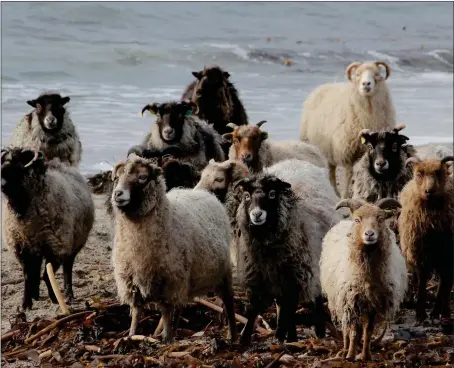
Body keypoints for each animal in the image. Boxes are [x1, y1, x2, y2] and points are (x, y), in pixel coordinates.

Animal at [0, 145, 94, 310]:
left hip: (73, 243)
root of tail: (61, 164)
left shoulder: (56, 247)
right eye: (3, 163)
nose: (2, 185)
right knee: (36, 270)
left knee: (67, 267)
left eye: (19, 164)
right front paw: (26, 303)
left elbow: (47, 275)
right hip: (36, 246)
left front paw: (55, 298)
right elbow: (28, 275)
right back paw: (36, 295)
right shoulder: (21, 247)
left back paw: (68, 293)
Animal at [110, 155, 238, 342]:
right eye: (116, 178)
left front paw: (167, 339)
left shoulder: (169, 281)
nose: (118, 194)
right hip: (186, 280)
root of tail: (207, 194)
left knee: (229, 301)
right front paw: (132, 335)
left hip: (222, 272)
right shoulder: (132, 281)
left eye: (142, 177)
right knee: (179, 306)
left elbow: (165, 312)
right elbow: (136, 311)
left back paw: (233, 334)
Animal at [300, 61, 396, 198]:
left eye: (377, 74)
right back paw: (334, 191)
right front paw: (345, 195)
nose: (366, 84)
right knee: (331, 171)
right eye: (358, 74)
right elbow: (348, 175)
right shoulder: (347, 152)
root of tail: (325, 85)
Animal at [320, 197, 408, 360]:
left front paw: (366, 355)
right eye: (357, 220)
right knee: (346, 327)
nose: (369, 234)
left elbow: (368, 330)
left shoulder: (373, 303)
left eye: (380, 219)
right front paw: (350, 355)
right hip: (340, 299)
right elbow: (354, 331)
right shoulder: (352, 300)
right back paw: (345, 349)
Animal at [400, 156, 452, 324]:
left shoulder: (447, 254)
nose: (429, 191)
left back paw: (442, 312)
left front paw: (435, 312)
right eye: (419, 174)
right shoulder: (420, 253)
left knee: (446, 282)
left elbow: (445, 283)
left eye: (439, 172)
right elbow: (422, 281)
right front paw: (420, 314)